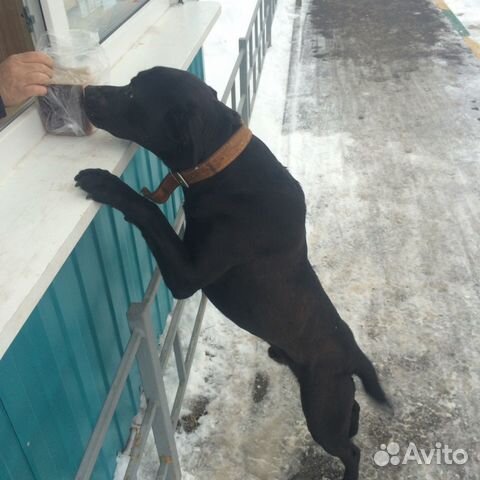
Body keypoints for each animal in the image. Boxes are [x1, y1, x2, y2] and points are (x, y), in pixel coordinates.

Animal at [76, 67, 390, 480]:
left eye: (132, 94)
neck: (220, 162)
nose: (85, 91)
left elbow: (149, 211)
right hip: (332, 399)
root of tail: (353, 351)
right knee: (351, 415)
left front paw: (105, 183)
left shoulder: (187, 275)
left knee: (350, 450)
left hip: (321, 406)